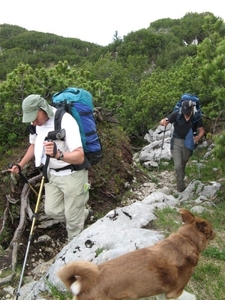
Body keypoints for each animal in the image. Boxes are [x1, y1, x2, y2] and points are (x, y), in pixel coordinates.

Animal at [57, 209, 215, 300]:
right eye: (210, 228)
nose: (215, 234)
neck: (186, 239)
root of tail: (82, 286)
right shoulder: (175, 293)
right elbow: (190, 296)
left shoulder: (162, 293)